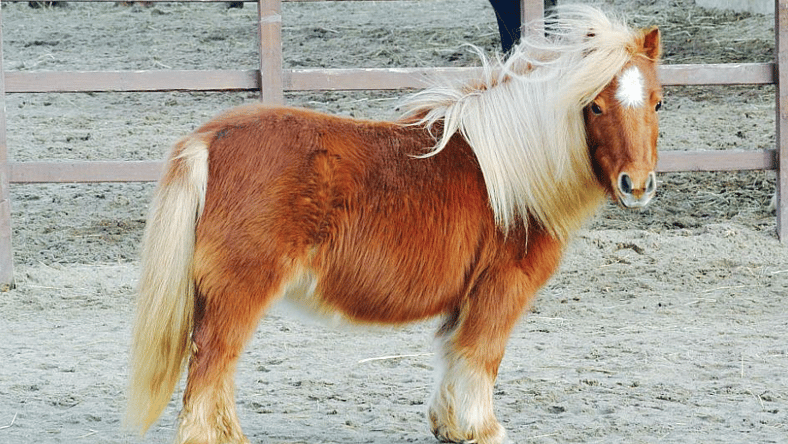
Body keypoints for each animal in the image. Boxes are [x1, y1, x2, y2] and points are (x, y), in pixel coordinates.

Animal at [126, 6, 662, 444]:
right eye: (595, 104)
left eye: (658, 102)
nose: (636, 185)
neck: (511, 172)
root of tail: (209, 139)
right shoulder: (500, 288)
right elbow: (482, 356)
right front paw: (484, 429)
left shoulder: (463, 297)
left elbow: (452, 355)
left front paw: (450, 427)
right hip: (238, 294)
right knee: (211, 369)